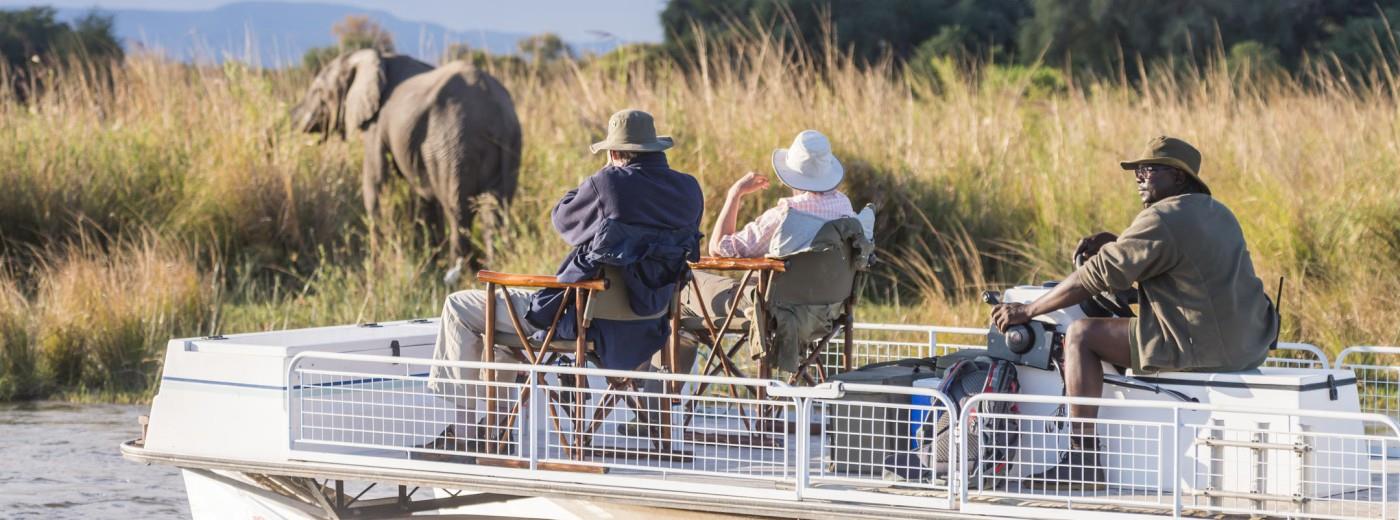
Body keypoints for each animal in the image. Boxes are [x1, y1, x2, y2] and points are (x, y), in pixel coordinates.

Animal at [289, 49, 526, 273]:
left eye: (318, 91)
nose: (291, 116)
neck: (375, 56)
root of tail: (496, 113)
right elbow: (424, 195)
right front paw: (431, 261)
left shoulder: (377, 122)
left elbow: (375, 181)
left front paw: (376, 265)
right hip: (507, 145)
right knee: (495, 209)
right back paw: (494, 265)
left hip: (453, 139)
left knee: (458, 209)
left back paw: (457, 272)